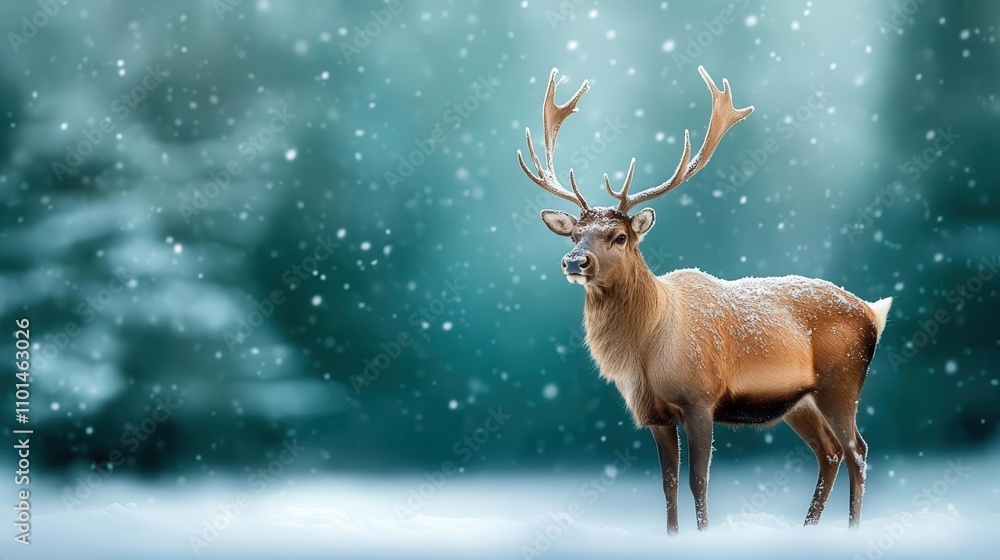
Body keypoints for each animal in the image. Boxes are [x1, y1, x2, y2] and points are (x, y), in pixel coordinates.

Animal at [516, 66, 891, 533]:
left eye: (619, 236)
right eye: (573, 234)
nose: (574, 261)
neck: (646, 351)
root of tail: (873, 313)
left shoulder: (701, 398)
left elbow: (698, 481)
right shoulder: (654, 415)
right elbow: (668, 485)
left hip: (842, 383)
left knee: (858, 450)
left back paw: (851, 528)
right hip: (799, 402)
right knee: (830, 453)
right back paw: (807, 528)